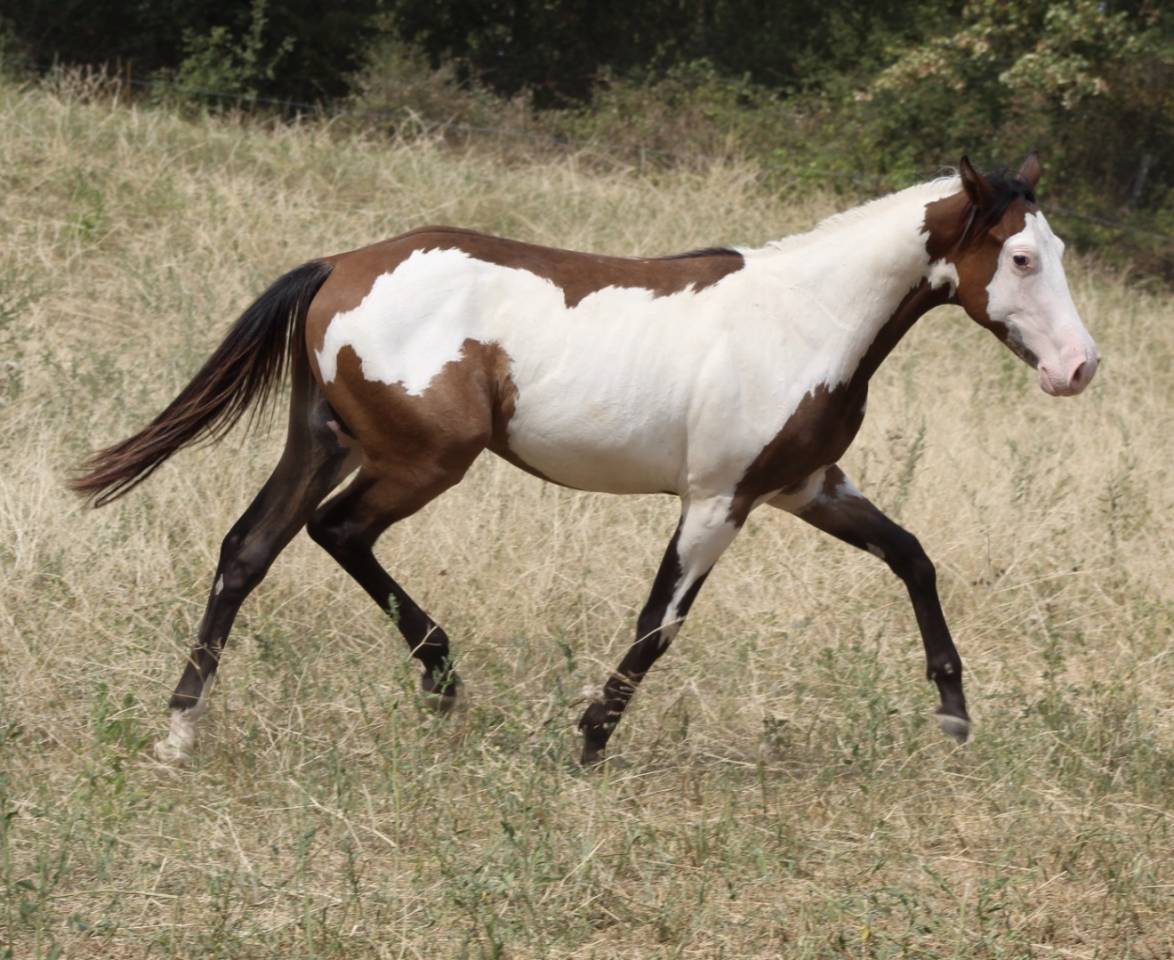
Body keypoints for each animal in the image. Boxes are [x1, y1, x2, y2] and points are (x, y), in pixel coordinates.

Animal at [72, 154, 1099, 765]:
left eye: (1053, 247)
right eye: (1018, 259)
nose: (1079, 367)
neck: (804, 317)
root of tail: (342, 265)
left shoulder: (805, 487)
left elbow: (912, 557)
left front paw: (954, 718)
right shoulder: (719, 499)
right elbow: (659, 625)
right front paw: (589, 740)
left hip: (324, 441)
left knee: (247, 551)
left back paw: (180, 731)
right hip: (423, 458)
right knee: (338, 533)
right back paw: (443, 682)